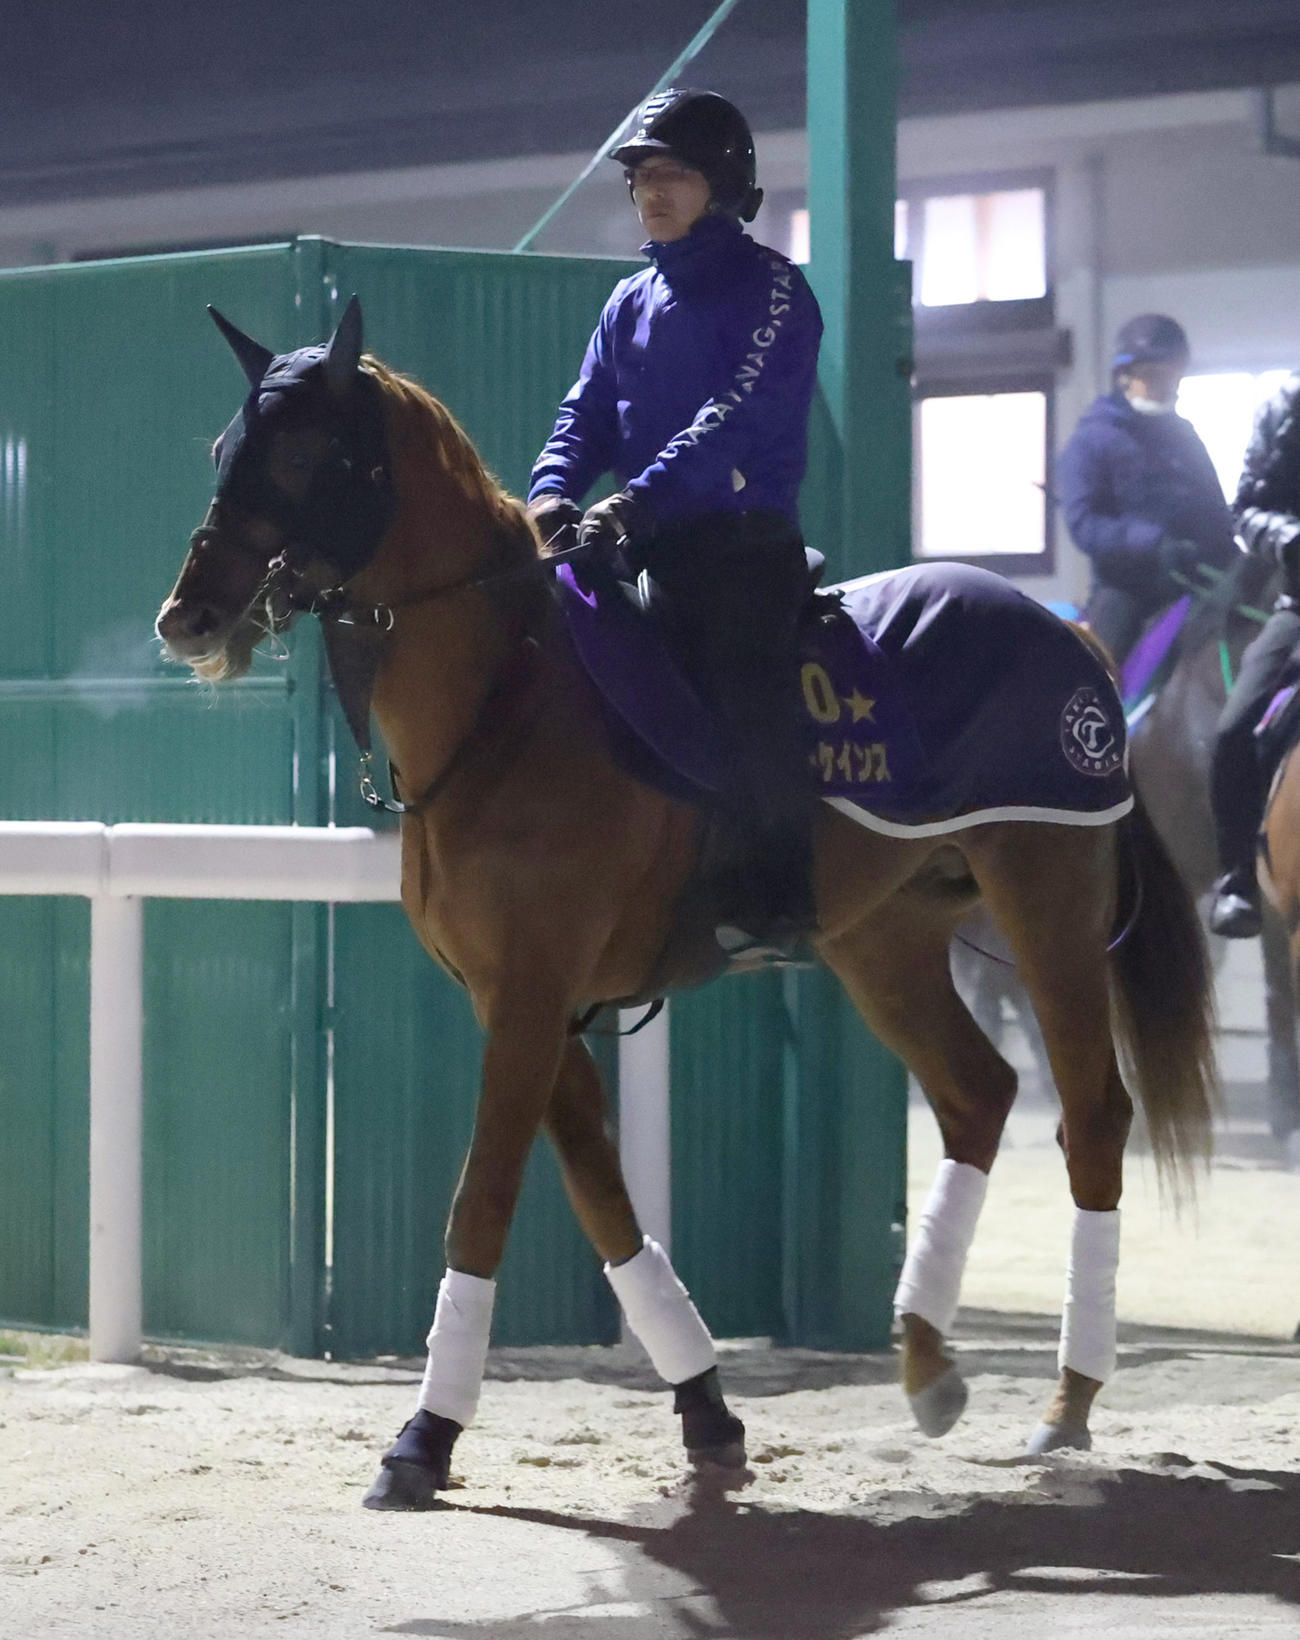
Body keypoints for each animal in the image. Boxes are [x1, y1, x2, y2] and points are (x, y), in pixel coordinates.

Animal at [156, 299, 1214, 1509]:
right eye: (221, 450)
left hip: (1049, 909)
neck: (510, 697)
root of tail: (1068, 631)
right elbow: (605, 1202)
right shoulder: (519, 999)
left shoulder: (532, 996)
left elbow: (484, 1202)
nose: (188, 618)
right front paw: (708, 1415)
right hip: (883, 940)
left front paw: (422, 1437)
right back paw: (926, 1361)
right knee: (978, 1093)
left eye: (301, 456)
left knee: (1091, 1114)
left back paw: (1067, 1402)